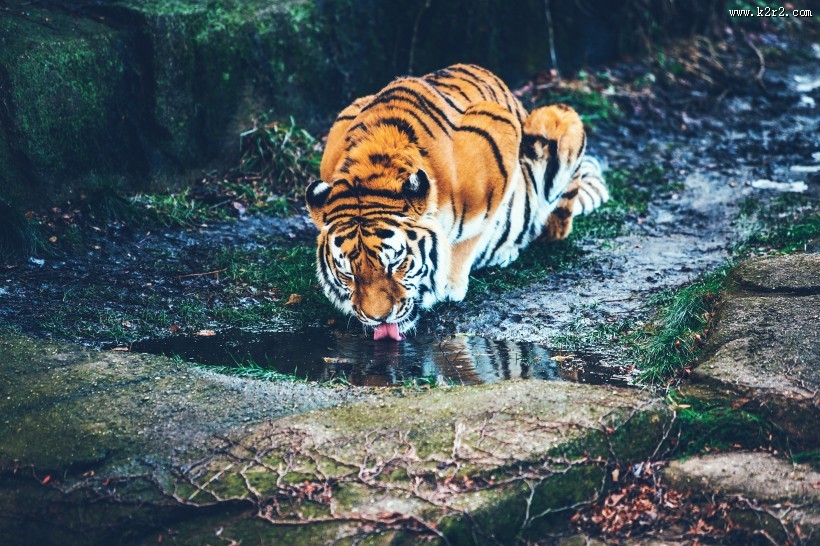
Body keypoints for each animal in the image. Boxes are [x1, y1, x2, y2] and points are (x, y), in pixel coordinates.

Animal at [305, 64, 608, 341]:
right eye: (348, 273)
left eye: (396, 263)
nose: (379, 318)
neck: (374, 166)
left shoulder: (500, 136)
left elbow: (471, 236)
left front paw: (450, 285)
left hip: (557, 117)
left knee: (553, 226)